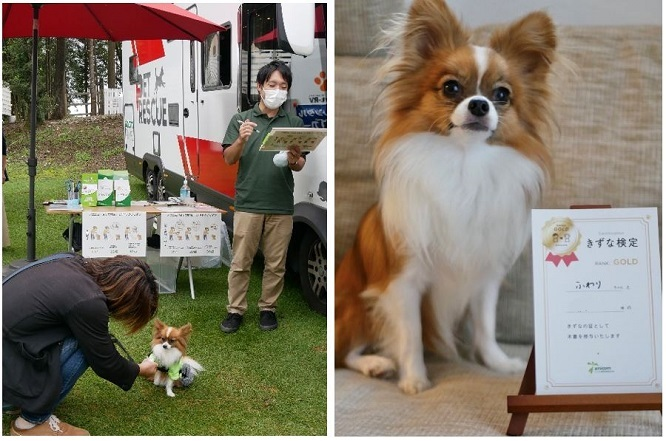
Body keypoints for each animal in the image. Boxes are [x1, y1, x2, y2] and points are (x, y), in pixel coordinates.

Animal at [332, 0, 556, 394]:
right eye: (451, 88)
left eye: (502, 94)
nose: (480, 104)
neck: (464, 164)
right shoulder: (404, 280)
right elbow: (411, 334)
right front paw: (415, 379)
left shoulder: (484, 276)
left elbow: (485, 325)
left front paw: (497, 363)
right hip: (357, 306)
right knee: (344, 353)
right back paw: (376, 363)